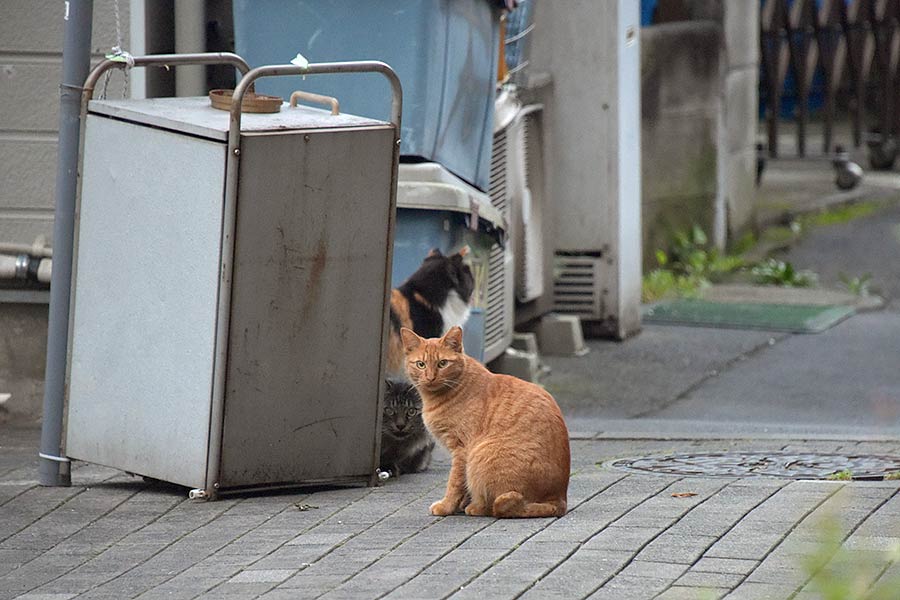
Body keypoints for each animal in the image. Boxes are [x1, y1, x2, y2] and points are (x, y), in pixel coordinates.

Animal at [400, 326, 568, 516]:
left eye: (442, 363)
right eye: (421, 364)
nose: (430, 377)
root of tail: (559, 498)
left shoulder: (461, 450)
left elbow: (455, 483)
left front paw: (447, 506)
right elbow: (463, 486)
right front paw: (460, 503)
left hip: (479, 456)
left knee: (496, 507)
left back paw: (476, 507)